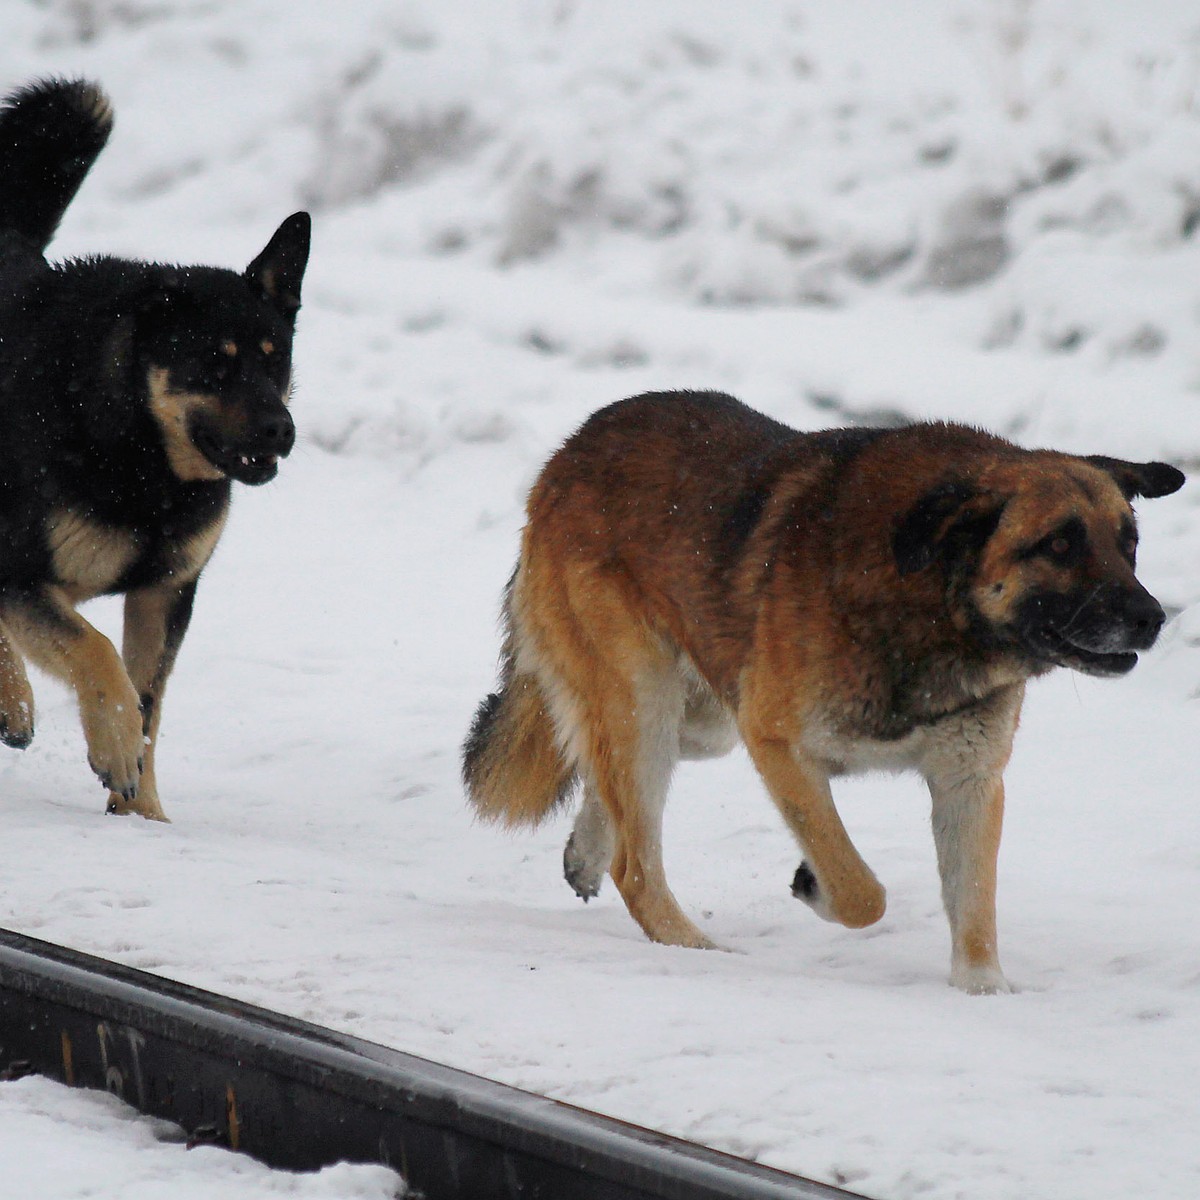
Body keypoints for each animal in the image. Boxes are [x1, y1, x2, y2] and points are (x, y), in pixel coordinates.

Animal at [0, 79, 314, 820]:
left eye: (274, 358)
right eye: (215, 364)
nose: (280, 429)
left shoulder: (165, 591)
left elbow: (148, 701)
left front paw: (142, 813)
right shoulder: (21, 572)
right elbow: (94, 651)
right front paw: (112, 748)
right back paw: (15, 704)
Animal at [463, 393, 1185, 993]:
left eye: (1129, 544)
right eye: (1059, 545)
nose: (1152, 618)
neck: (930, 597)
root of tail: (570, 451)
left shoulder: (970, 780)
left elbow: (975, 904)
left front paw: (983, 992)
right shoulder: (777, 743)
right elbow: (860, 890)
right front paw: (816, 885)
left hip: (698, 719)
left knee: (599, 771)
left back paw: (588, 850)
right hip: (649, 703)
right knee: (635, 865)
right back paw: (694, 947)